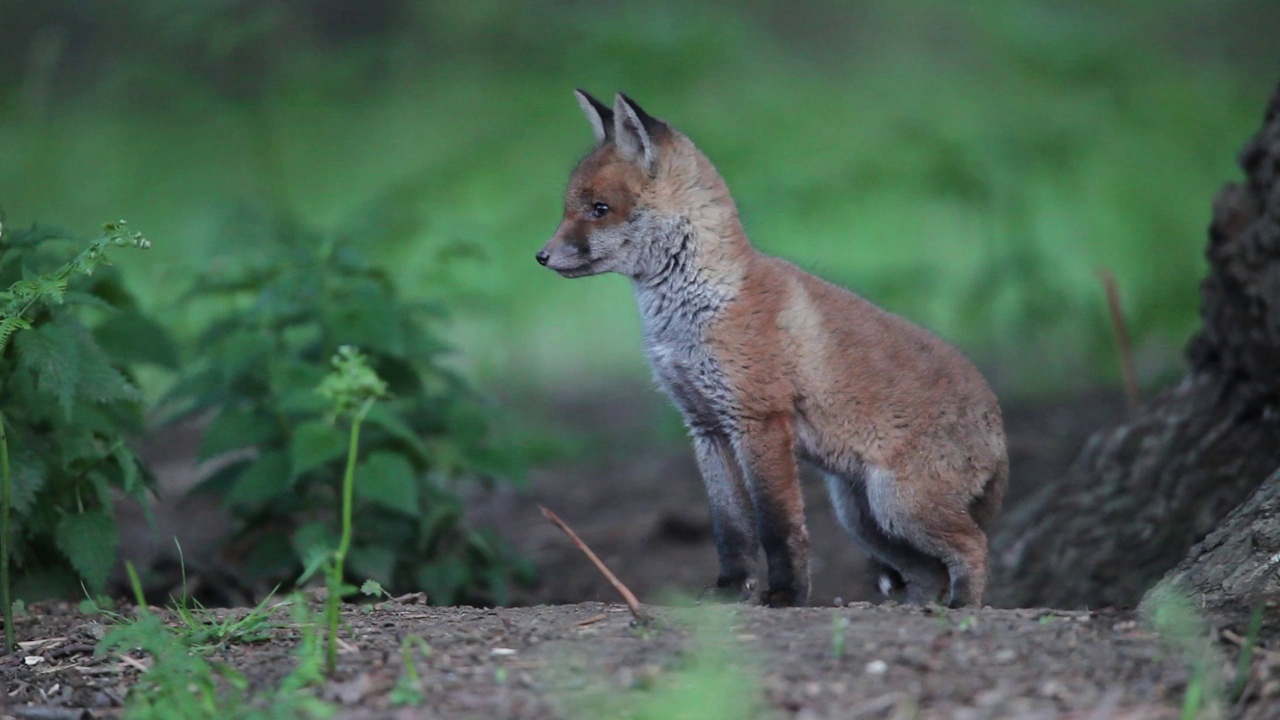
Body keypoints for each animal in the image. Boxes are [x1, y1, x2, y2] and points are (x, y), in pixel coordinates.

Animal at [535, 89, 1003, 604]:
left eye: (599, 209)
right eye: (568, 208)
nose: (540, 256)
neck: (694, 309)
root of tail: (999, 424)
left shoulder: (759, 420)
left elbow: (778, 526)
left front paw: (786, 594)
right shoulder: (706, 427)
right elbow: (730, 528)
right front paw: (729, 590)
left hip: (899, 506)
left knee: (974, 547)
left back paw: (962, 608)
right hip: (864, 518)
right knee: (927, 572)